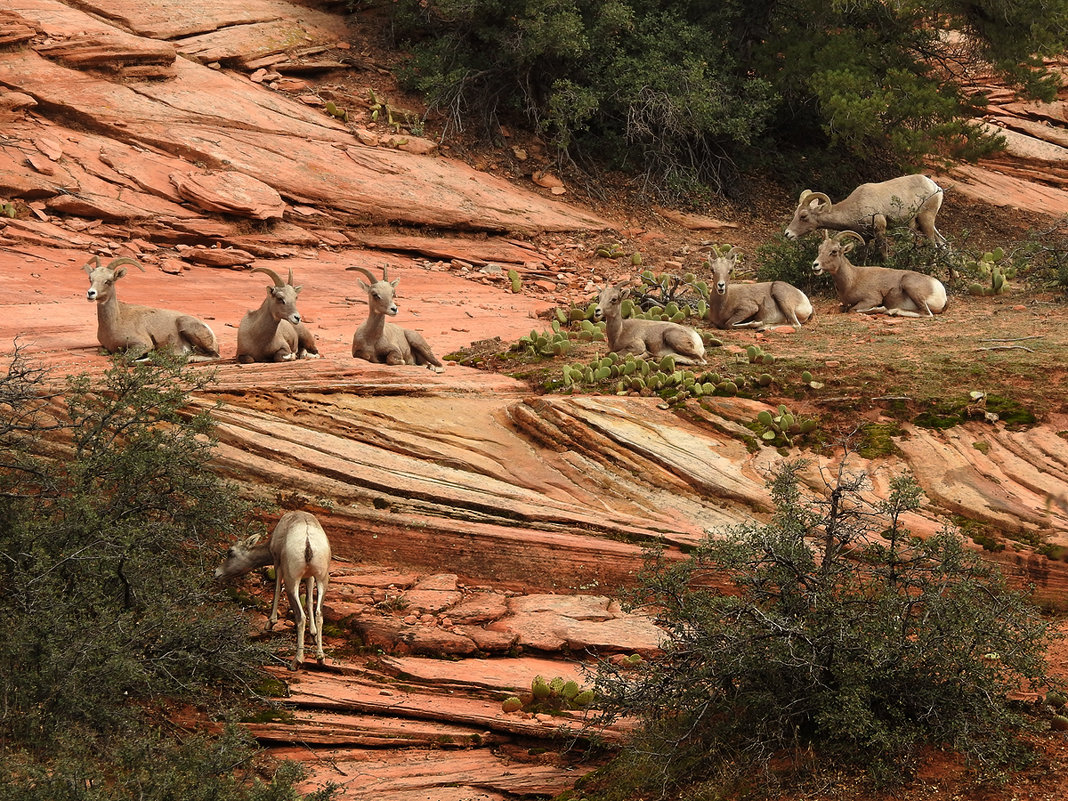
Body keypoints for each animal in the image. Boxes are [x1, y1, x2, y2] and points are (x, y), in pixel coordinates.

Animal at [83, 257, 218, 360]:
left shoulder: (143, 344)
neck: (116, 321)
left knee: (214, 356)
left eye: (108, 281)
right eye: (90, 279)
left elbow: (126, 358)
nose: (91, 293)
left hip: (186, 325)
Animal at [214, 514, 331, 670]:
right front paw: (313, 635)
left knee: (300, 616)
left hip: (291, 581)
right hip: (322, 579)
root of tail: (308, 541)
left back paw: (296, 661)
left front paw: (269, 624)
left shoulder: (277, 563)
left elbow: (276, 589)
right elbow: (309, 600)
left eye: (231, 552)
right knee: (319, 614)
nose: (216, 573)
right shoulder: (309, 576)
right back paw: (320, 658)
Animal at [781, 174, 948, 258]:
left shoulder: (880, 230)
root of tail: (937, 188)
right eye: (795, 213)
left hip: (926, 221)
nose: (787, 234)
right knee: (943, 244)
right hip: (924, 224)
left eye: (803, 216)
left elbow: (883, 254)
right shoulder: (865, 238)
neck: (856, 206)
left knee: (935, 247)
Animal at [811, 228, 948, 316]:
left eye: (834, 251)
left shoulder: (871, 299)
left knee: (926, 313)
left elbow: (853, 309)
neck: (852, 280)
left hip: (909, 284)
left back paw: (892, 311)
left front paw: (880, 308)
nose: (815, 265)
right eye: (819, 249)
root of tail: (940, 290)